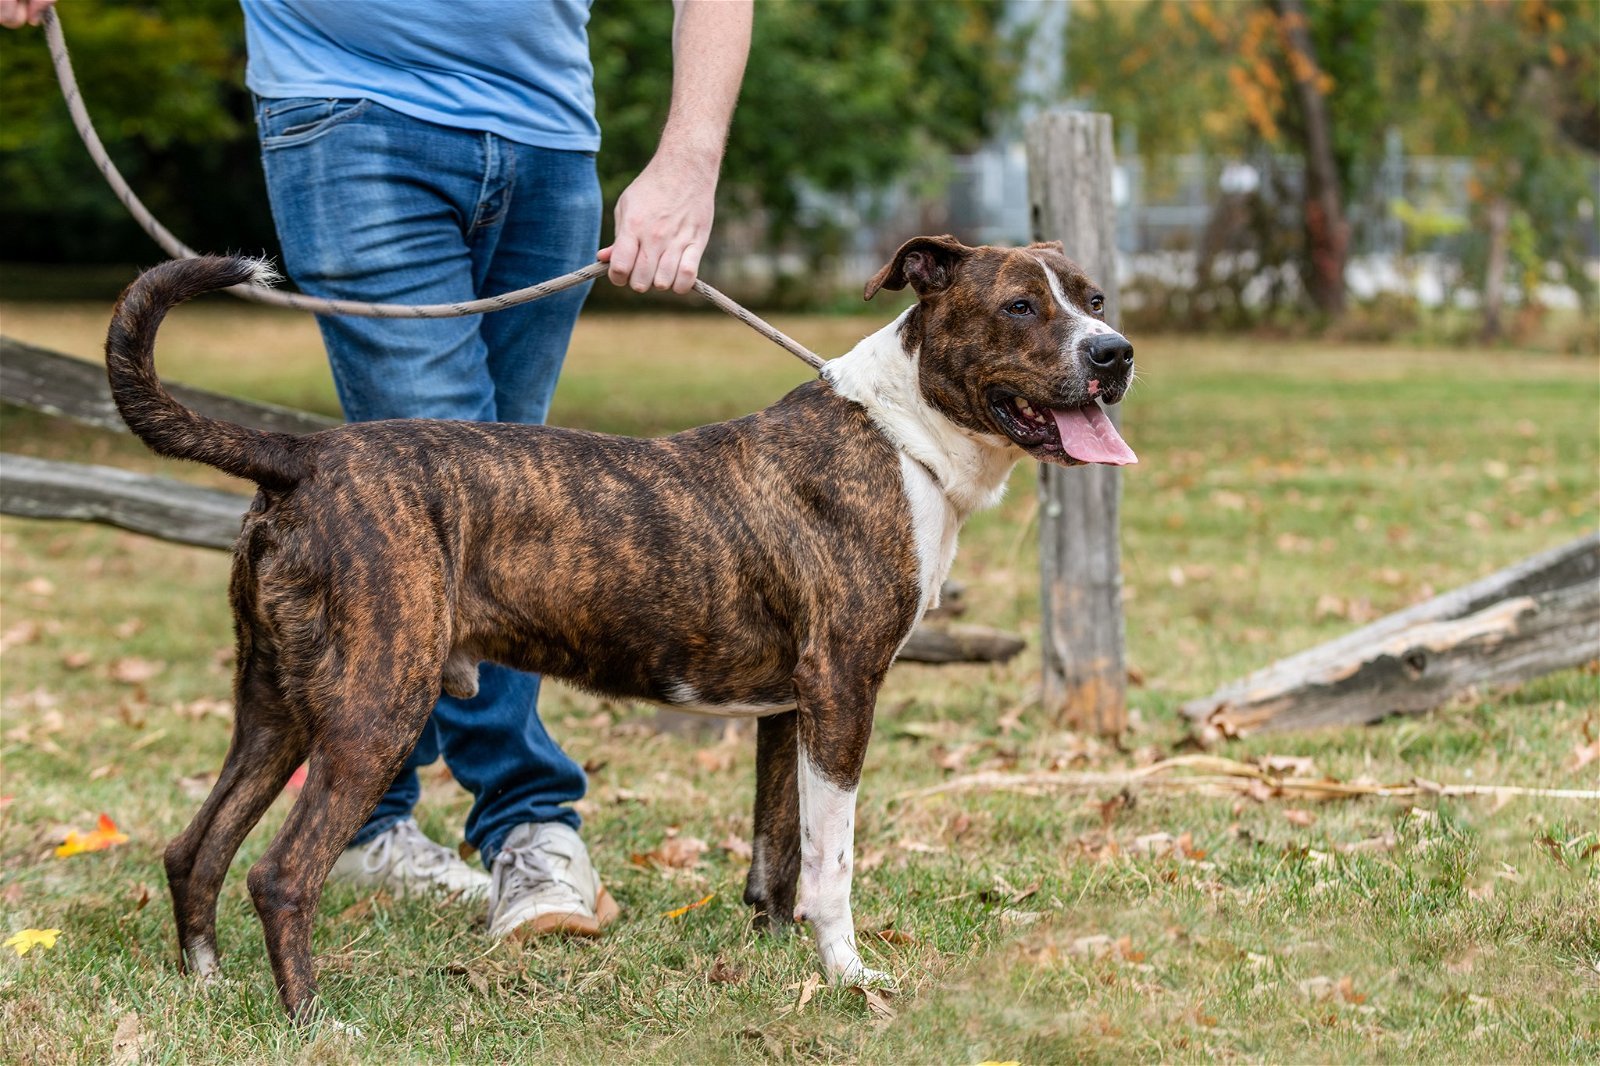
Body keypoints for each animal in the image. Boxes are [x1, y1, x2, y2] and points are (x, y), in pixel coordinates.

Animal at [103, 236, 1139, 1017]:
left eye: (1093, 298)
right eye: (1019, 308)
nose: (1115, 353)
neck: (901, 433)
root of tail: (299, 456)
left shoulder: (788, 711)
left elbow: (777, 852)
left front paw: (775, 959)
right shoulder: (844, 693)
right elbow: (833, 863)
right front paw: (848, 977)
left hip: (275, 707)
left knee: (196, 846)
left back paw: (205, 986)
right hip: (376, 706)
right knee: (281, 873)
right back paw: (314, 1021)